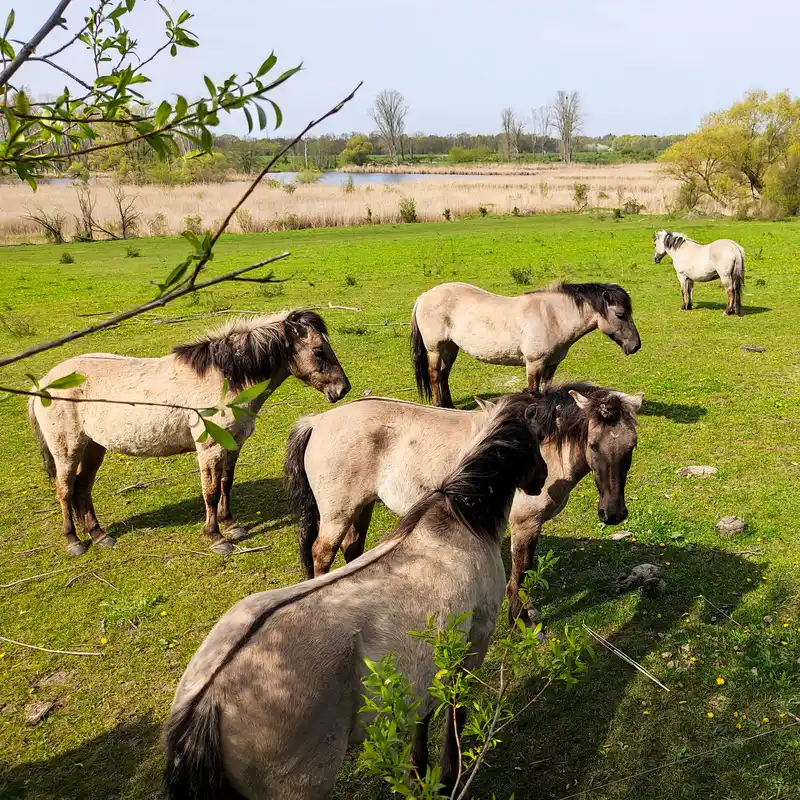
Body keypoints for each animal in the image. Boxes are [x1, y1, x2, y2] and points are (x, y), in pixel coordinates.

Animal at [29, 308, 348, 556]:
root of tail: (42, 383)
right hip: (67, 449)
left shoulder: (232, 445)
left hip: (94, 446)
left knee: (83, 487)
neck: (224, 379)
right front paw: (216, 538)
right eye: (319, 351)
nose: (343, 389)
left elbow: (225, 485)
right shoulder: (209, 449)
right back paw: (74, 541)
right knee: (65, 489)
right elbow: (210, 492)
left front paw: (232, 526)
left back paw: (99, 535)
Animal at [162, 394, 552, 800]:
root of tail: (210, 698)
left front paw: (421, 772)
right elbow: (454, 721)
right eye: (536, 440)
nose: (542, 479)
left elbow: (424, 714)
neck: (460, 521)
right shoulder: (472, 651)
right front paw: (448, 777)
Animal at [288, 382, 644, 624]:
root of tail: (317, 421)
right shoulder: (525, 524)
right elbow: (521, 570)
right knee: (322, 553)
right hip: (338, 512)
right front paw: (520, 618)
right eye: (593, 444)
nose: (613, 514)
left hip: (363, 506)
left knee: (353, 548)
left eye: (632, 446)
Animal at [410, 282, 640, 406]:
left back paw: (448, 405)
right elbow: (533, 392)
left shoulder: (551, 364)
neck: (552, 317)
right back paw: (439, 404)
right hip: (435, 348)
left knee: (443, 374)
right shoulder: (534, 363)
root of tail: (424, 296)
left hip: (451, 347)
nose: (635, 346)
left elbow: (546, 392)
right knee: (434, 374)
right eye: (621, 314)